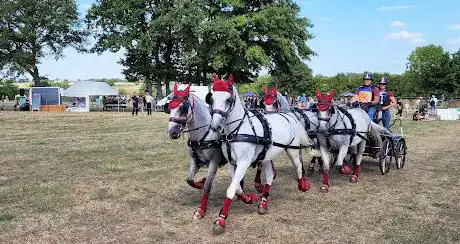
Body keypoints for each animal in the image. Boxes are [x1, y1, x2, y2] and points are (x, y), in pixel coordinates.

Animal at [166, 83, 260, 219]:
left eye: (183, 107)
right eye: (169, 106)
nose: (172, 132)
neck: (203, 135)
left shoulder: (213, 163)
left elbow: (207, 186)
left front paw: (201, 210)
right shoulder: (195, 161)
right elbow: (189, 180)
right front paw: (200, 182)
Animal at [208, 75, 312, 234]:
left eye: (228, 99)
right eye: (211, 98)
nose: (215, 126)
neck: (237, 130)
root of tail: (289, 115)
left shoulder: (244, 162)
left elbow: (231, 188)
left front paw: (221, 219)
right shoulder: (233, 163)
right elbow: (237, 187)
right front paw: (247, 198)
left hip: (292, 150)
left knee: (298, 166)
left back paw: (302, 185)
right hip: (267, 156)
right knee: (269, 176)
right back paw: (263, 203)